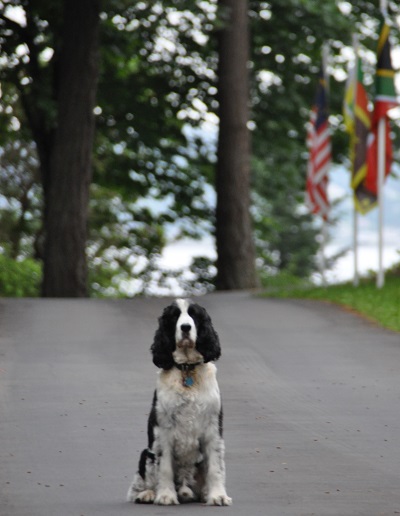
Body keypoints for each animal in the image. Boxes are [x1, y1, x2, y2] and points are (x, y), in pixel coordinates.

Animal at [128, 298, 231, 504]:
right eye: (175, 316)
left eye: (194, 314)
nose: (185, 327)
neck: (187, 369)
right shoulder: (163, 430)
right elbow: (165, 468)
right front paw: (166, 496)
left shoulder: (213, 428)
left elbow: (215, 466)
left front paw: (218, 496)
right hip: (146, 453)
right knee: (139, 484)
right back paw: (148, 494)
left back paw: (200, 493)